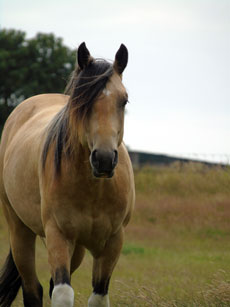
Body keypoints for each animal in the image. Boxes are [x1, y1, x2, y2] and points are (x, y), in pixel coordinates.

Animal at [0, 43, 135, 307]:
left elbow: (98, 297)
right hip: (20, 232)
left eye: (124, 100)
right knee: (33, 290)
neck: (95, 189)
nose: (104, 159)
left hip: (78, 248)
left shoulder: (113, 242)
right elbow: (62, 294)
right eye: (81, 101)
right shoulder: (58, 235)